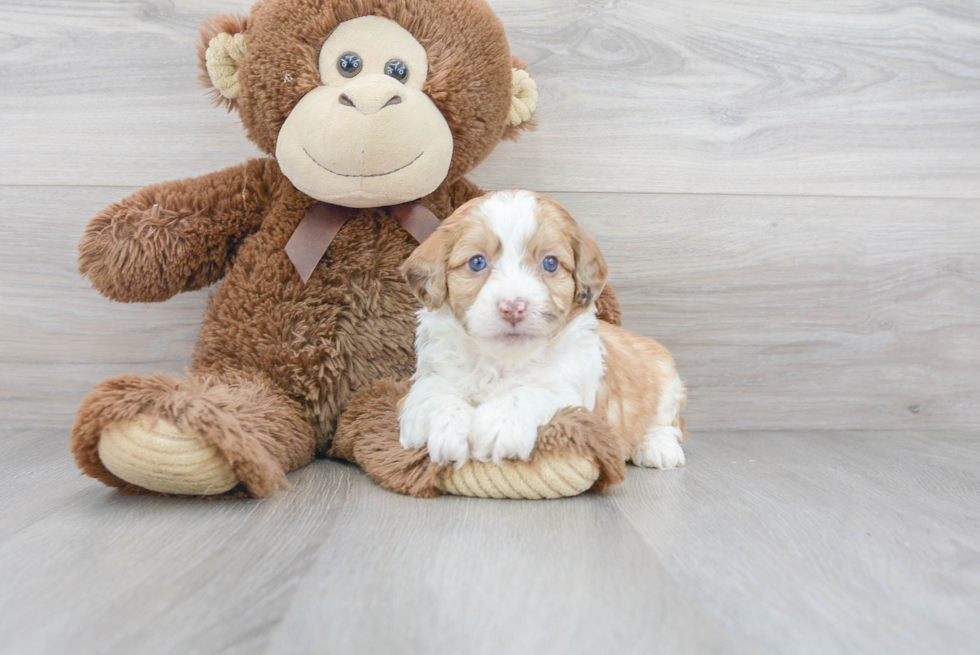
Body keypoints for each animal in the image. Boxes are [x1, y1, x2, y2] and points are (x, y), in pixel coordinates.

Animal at [398, 191, 688, 472]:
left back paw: (657, 447)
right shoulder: (430, 377)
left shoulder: (572, 391)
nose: (513, 307)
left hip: (666, 381)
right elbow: (434, 396)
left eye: (550, 263)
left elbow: (534, 391)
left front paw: (500, 423)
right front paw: (449, 429)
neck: (504, 360)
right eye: (477, 262)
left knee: (667, 423)